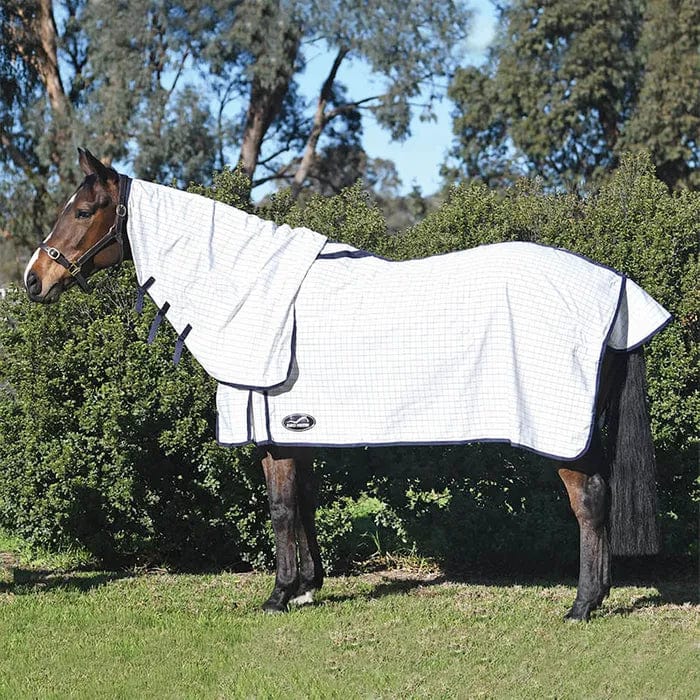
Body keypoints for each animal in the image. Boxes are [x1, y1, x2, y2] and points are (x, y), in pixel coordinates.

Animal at [24, 148, 669, 621]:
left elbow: (281, 507)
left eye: (83, 211)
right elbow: (304, 502)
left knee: (590, 503)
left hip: (563, 435)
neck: (245, 288)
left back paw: (582, 605)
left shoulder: (273, 435)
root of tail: (618, 289)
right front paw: (310, 585)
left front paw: (280, 594)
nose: (34, 278)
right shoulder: (296, 429)